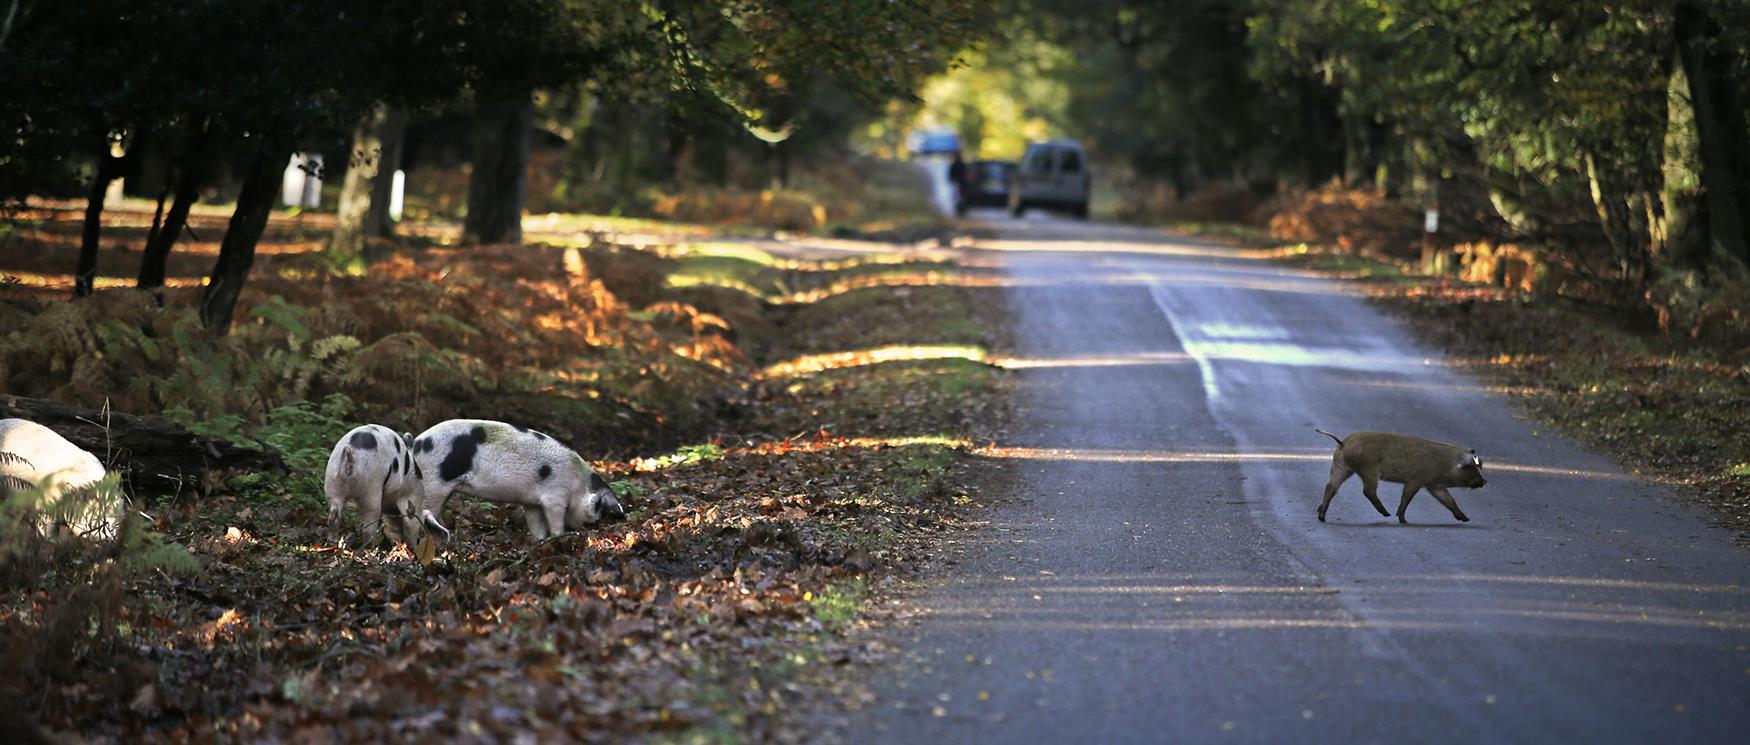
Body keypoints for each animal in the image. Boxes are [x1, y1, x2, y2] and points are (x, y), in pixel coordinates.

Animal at [408, 419, 625, 541]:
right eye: (598, 510)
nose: (589, 528)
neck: (579, 485)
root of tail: (416, 443)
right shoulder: (556, 495)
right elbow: (555, 518)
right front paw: (558, 536)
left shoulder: (532, 502)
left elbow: (535, 523)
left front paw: (539, 540)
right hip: (433, 482)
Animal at [1315, 429, 1488, 524]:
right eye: (1472, 468)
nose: (1484, 481)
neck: (1446, 464)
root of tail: (1343, 442)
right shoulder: (1417, 479)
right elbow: (1407, 496)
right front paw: (1402, 519)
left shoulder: (1434, 485)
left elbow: (1449, 501)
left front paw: (1466, 519)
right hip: (1368, 469)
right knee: (1367, 491)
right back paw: (1387, 514)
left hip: (1341, 466)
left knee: (1330, 487)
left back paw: (1321, 516)